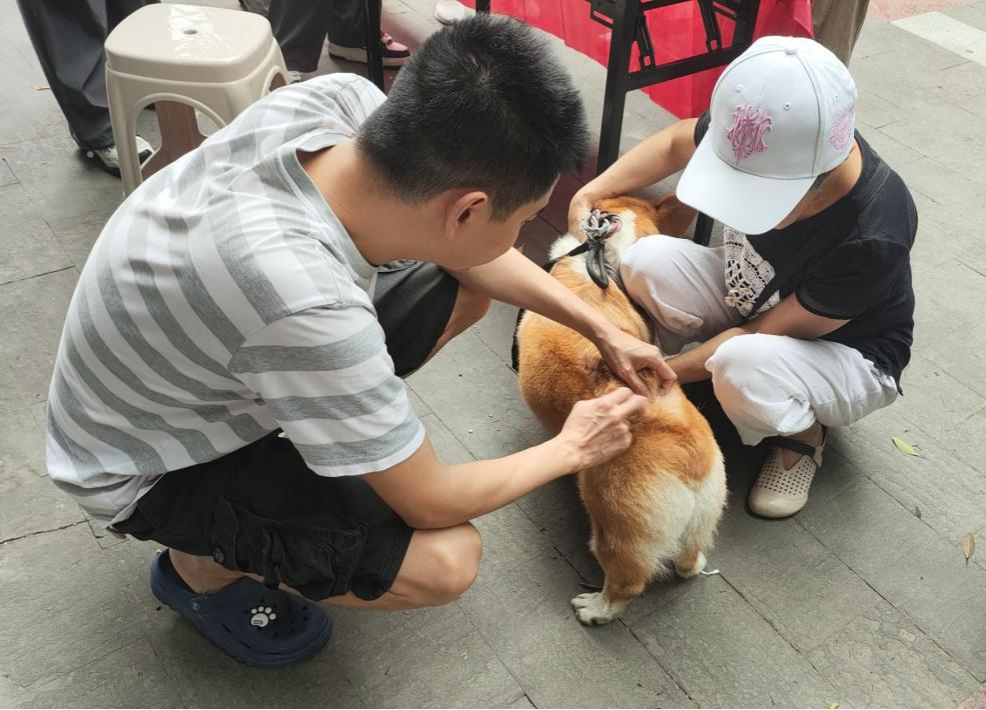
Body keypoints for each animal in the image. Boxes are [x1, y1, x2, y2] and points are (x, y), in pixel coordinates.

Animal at [516, 195, 726, 626]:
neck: (603, 258)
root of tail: (688, 453)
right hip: (704, 515)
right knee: (687, 560)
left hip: (612, 527)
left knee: (627, 582)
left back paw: (595, 609)